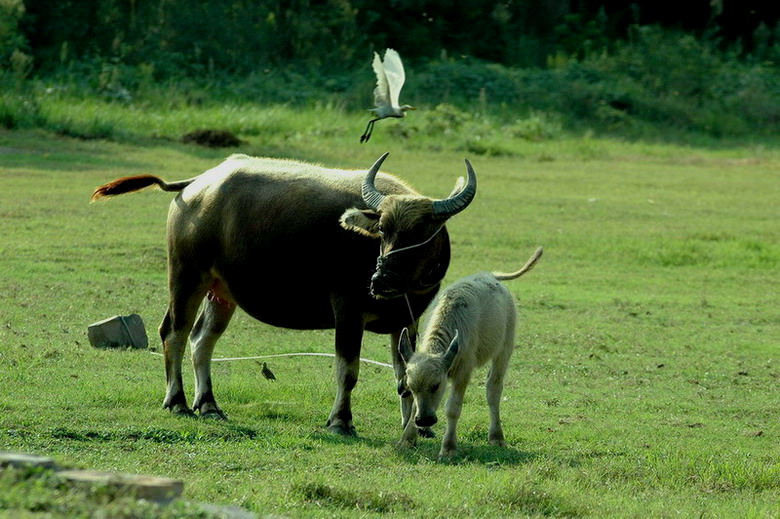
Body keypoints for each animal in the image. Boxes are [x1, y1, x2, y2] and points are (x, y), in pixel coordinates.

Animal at [94, 152, 478, 436]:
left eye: (421, 232)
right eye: (383, 229)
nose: (381, 278)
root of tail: (197, 183)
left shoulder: (406, 319)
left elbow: (404, 373)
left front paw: (415, 425)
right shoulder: (347, 311)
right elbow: (348, 370)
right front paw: (340, 421)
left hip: (222, 291)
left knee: (202, 339)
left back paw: (209, 405)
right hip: (187, 276)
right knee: (174, 332)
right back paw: (176, 401)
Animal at [400, 248, 540, 460]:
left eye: (436, 386)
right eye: (411, 387)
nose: (424, 420)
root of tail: (491, 275)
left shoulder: (463, 372)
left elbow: (453, 409)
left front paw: (449, 448)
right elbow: (415, 405)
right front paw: (407, 439)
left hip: (505, 349)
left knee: (493, 389)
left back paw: (496, 436)